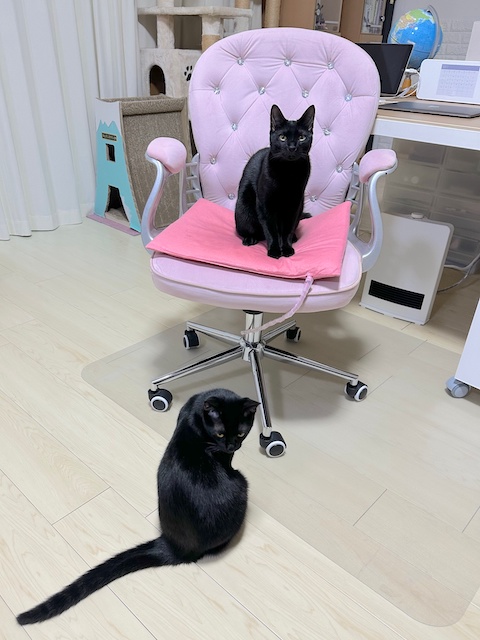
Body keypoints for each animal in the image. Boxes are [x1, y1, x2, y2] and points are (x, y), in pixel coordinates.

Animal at [17, 388, 259, 625]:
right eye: (220, 434)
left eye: (240, 433)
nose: (232, 446)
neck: (196, 412)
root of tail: (174, 546)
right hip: (242, 484)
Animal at [235, 103, 315, 259]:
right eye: (282, 137)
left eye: (301, 137)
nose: (292, 147)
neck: (288, 172)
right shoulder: (266, 204)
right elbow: (271, 230)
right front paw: (274, 250)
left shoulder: (294, 204)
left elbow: (287, 229)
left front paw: (287, 248)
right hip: (243, 209)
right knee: (253, 230)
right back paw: (250, 238)